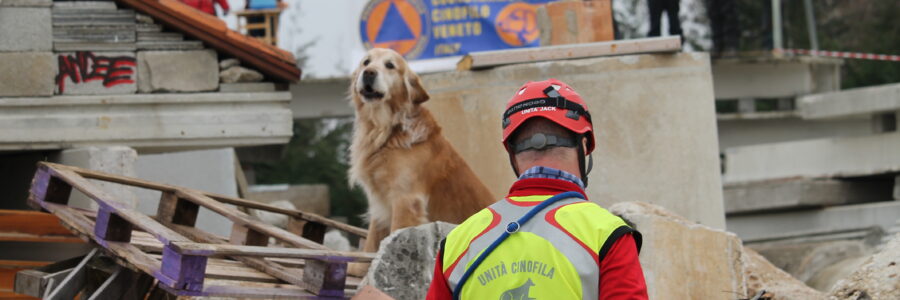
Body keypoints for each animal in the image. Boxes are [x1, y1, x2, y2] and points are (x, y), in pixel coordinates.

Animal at [348, 48, 496, 276]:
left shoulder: (406, 200)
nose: (369, 73)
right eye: (366, 62)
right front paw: (359, 269)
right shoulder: (379, 201)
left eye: (390, 65)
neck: (386, 131)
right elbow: (372, 238)